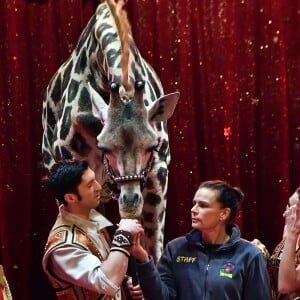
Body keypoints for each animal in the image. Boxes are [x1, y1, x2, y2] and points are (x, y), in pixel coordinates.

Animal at [41, 0, 179, 262]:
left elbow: (155, 248)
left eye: (152, 145)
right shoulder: (76, 165)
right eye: (103, 146)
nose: (129, 204)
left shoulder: (159, 170)